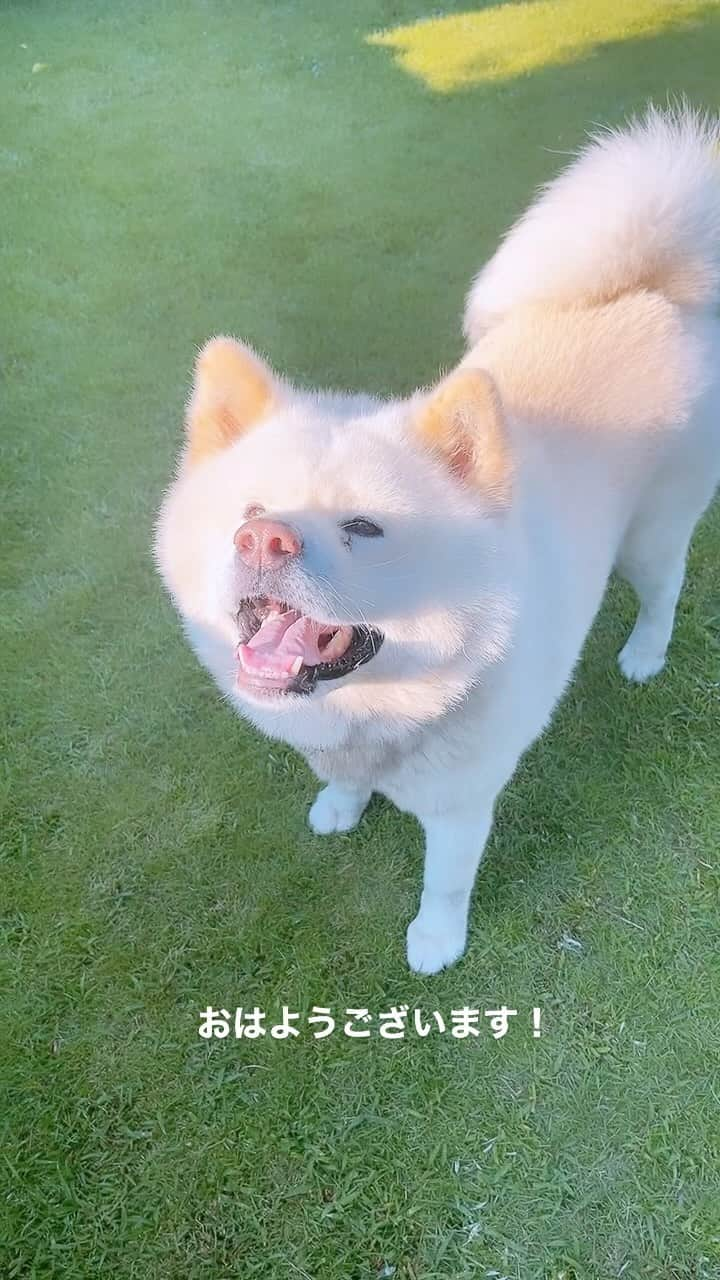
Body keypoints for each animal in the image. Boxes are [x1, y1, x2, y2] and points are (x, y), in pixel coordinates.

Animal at [155, 110, 717, 967]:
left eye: (363, 527)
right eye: (250, 509)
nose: (264, 539)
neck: (379, 708)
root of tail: (650, 291)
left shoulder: (461, 803)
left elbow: (445, 880)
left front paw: (435, 940)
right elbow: (341, 780)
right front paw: (341, 803)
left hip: (650, 537)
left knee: (665, 591)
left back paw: (644, 654)